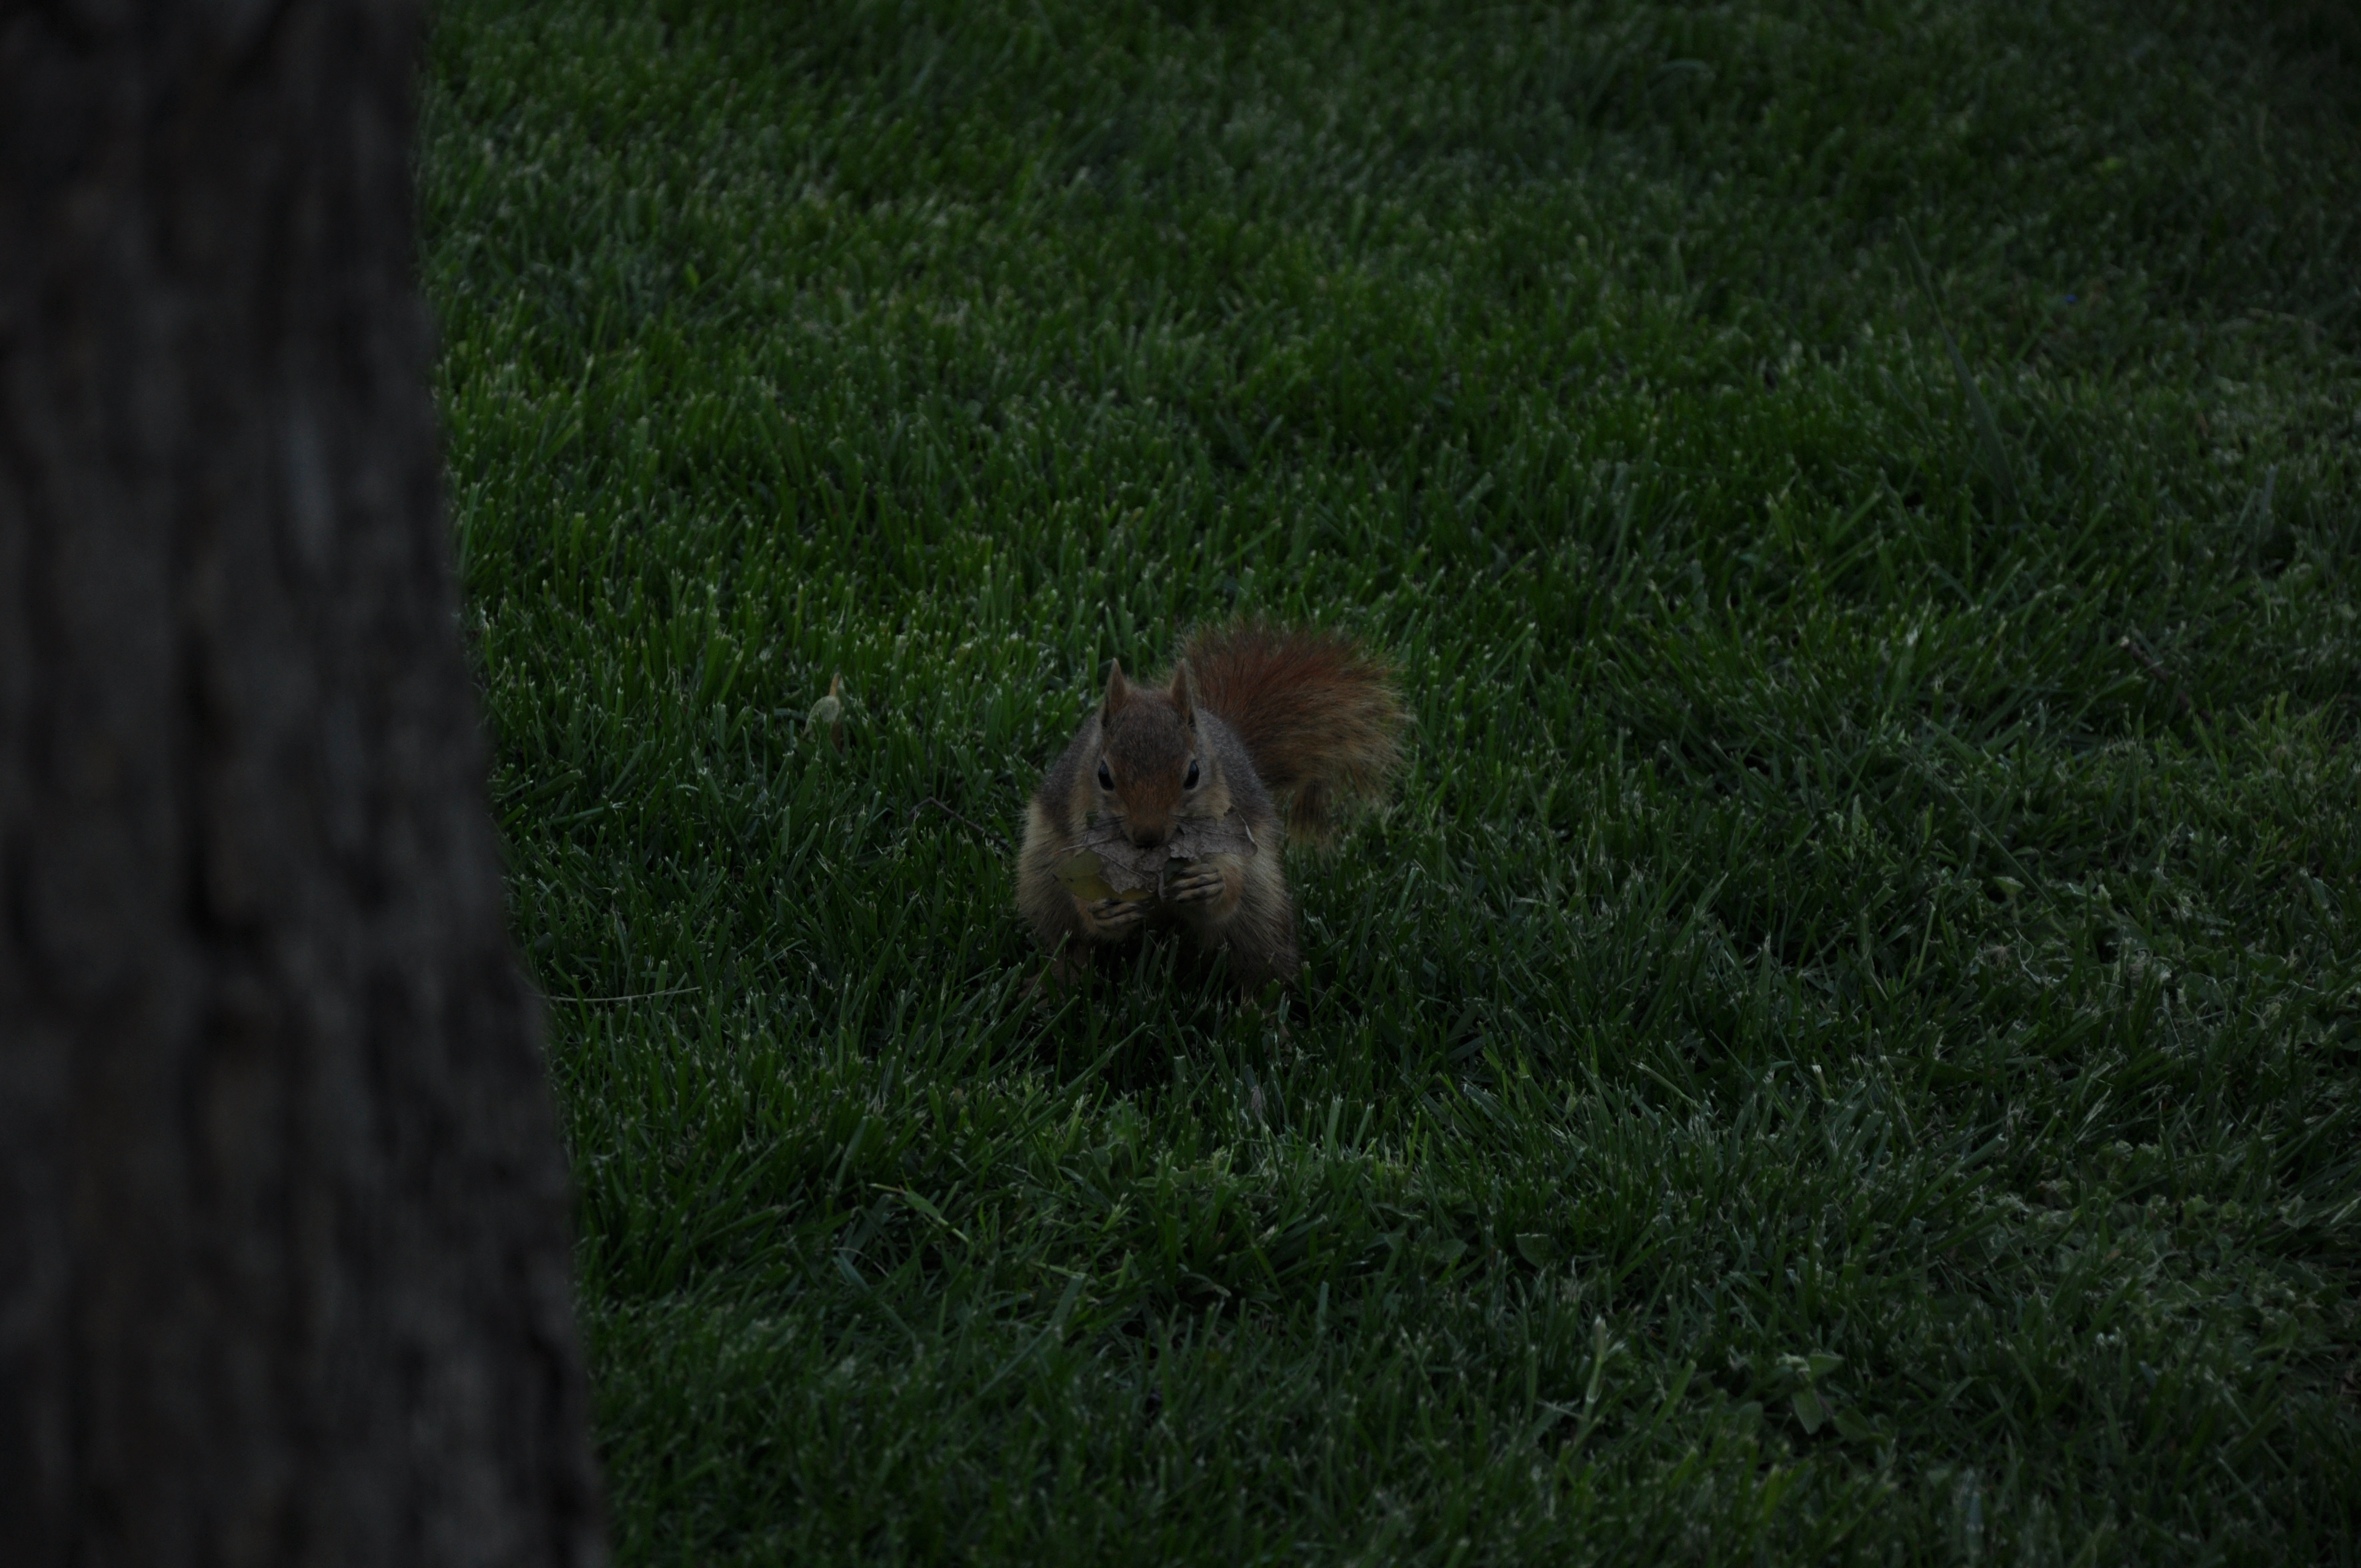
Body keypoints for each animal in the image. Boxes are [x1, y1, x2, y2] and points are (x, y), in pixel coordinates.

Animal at [1015, 614, 1397, 992]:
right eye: (1103, 775)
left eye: (1194, 774)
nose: (1148, 836)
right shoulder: (1077, 829)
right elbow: (1082, 897)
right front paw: (1102, 912)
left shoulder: (1231, 827)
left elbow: (1231, 885)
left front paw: (1210, 884)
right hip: (1041, 875)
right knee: (1072, 940)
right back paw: (1055, 981)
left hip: (1264, 902)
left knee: (1261, 955)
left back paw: (1262, 1004)